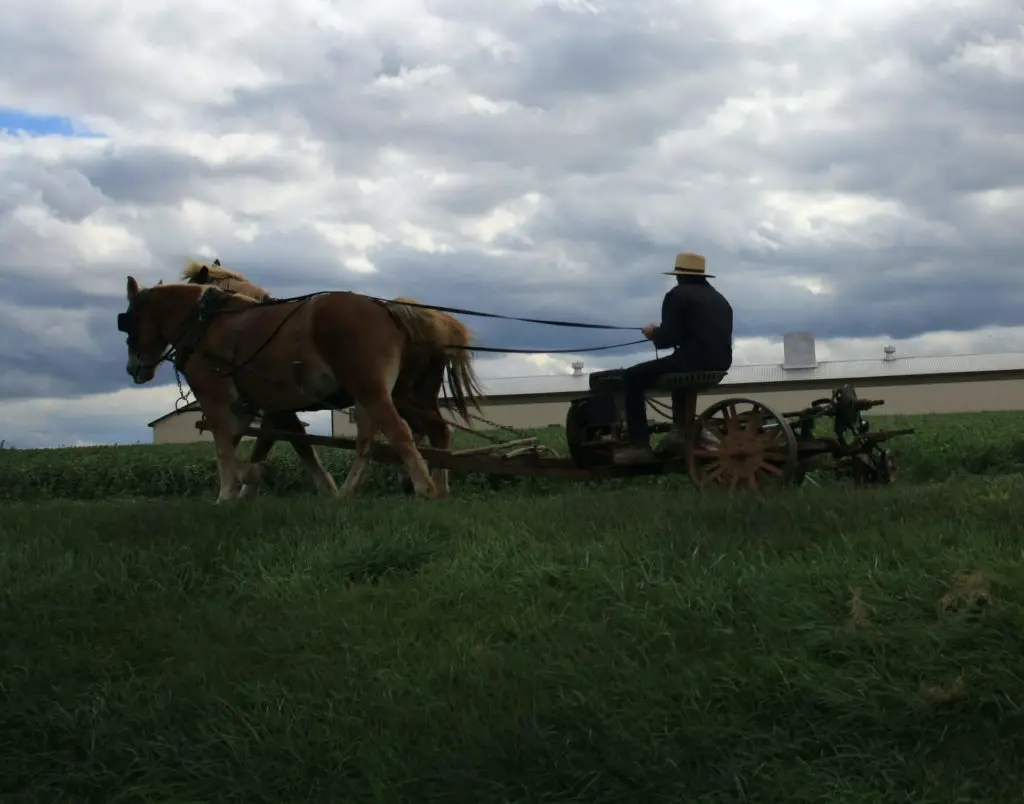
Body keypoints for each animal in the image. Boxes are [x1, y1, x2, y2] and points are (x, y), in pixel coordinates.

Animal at [115, 276, 456, 501]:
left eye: (127, 320)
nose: (133, 368)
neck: (206, 325)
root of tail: (388, 309)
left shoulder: (215, 398)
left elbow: (224, 446)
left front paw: (229, 492)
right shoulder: (271, 407)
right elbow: (293, 445)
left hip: (371, 387)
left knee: (399, 431)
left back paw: (425, 486)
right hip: (386, 394)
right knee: (384, 438)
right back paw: (356, 491)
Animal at [178, 257, 485, 495]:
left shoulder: (277, 408)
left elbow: (280, 443)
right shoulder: (274, 408)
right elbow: (274, 443)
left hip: (391, 393)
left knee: (410, 432)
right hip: (414, 395)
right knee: (434, 432)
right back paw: (430, 484)